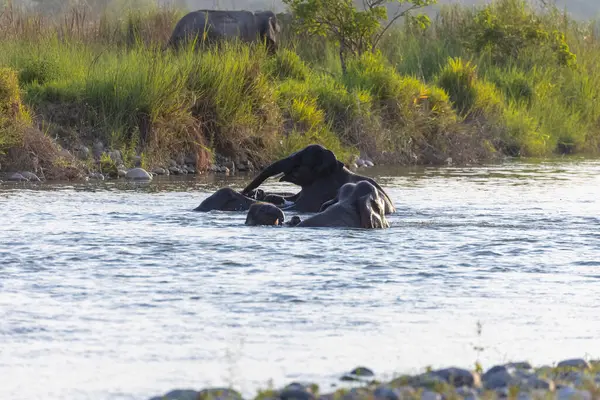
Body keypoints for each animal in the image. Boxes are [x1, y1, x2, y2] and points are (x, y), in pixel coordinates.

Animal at [195, 145, 396, 216]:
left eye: (299, 159)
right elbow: (287, 199)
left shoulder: (318, 191)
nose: (248, 190)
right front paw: (262, 194)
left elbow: (294, 206)